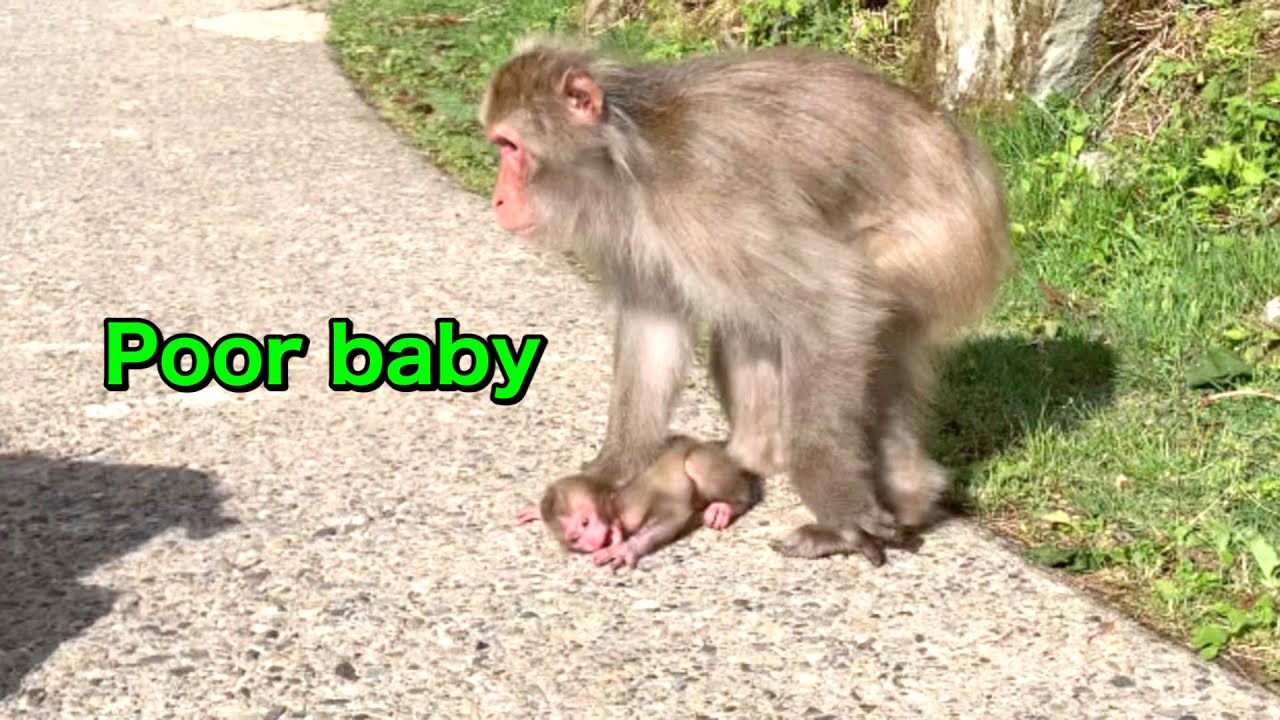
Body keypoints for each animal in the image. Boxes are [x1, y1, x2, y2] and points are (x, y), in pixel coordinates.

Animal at [515, 435, 765, 569]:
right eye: (575, 538)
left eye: (586, 522)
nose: (591, 541)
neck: (614, 505)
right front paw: (535, 511)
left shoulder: (633, 506)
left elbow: (674, 514)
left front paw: (626, 548)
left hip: (714, 462)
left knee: (695, 465)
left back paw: (730, 506)